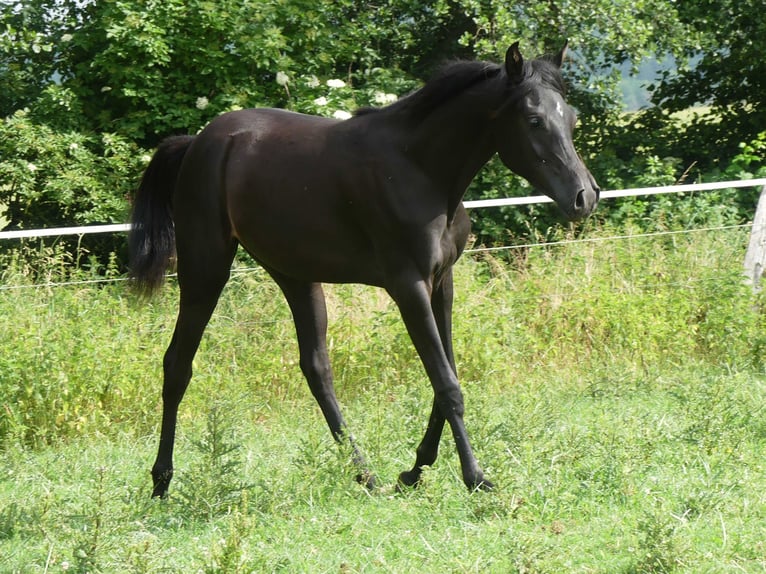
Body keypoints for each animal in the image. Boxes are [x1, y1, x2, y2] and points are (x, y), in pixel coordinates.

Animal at [130, 41, 600, 500]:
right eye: (534, 119)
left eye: (571, 117)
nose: (585, 196)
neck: (420, 168)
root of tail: (198, 143)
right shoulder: (408, 285)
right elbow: (446, 384)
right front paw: (475, 477)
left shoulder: (442, 283)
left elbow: (444, 375)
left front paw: (415, 470)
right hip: (205, 270)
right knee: (178, 364)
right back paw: (160, 482)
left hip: (295, 276)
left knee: (316, 369)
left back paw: (366, 476)